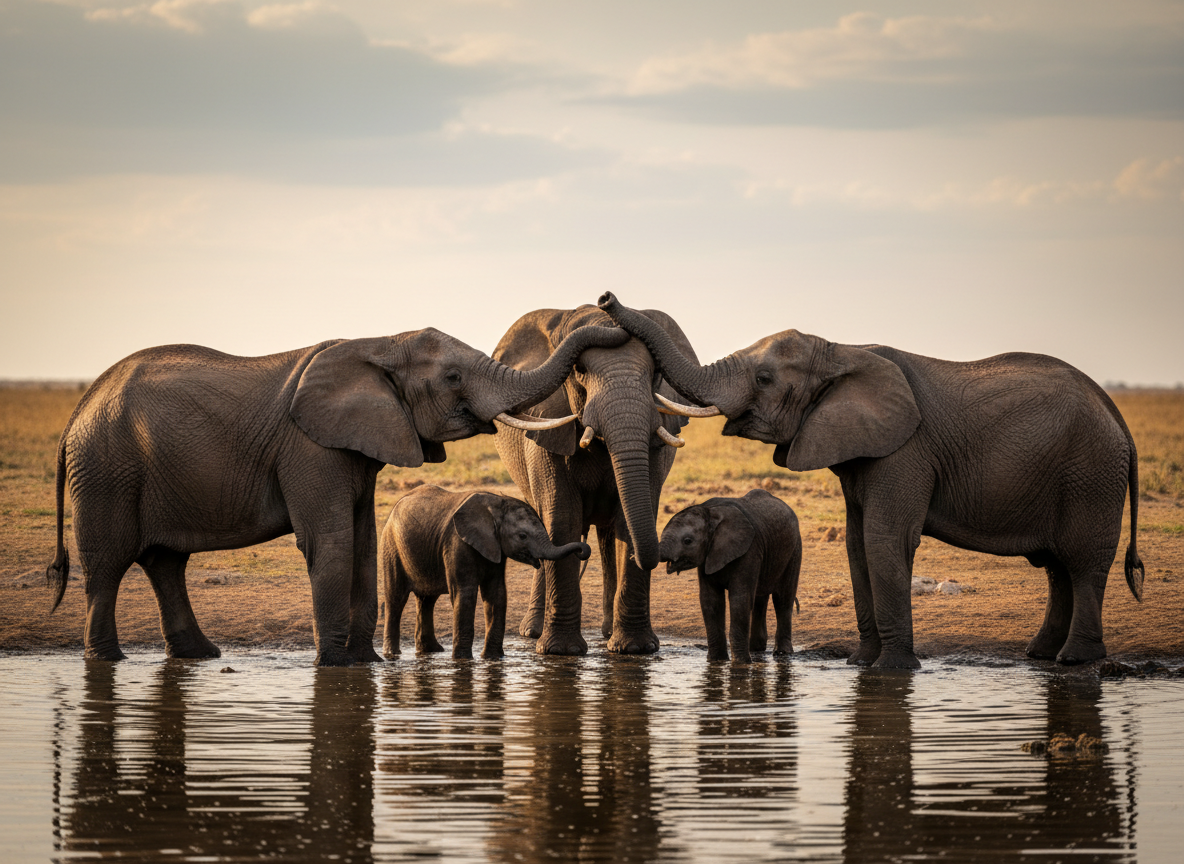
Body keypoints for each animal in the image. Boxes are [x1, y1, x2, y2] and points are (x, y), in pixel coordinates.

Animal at [379, 485, 591, 659]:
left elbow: (496, 594)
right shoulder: (457, 543)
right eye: (522, 536)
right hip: (391, 546)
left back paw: (432, 651)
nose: (583, 550)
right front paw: (463, 660)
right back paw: (392, 654)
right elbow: (465, 594)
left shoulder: (495, 548)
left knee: (427, 600)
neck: (496, 506)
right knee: (396, 599)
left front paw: (493, 658)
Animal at [492, 304, 699, 655]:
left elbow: (632, 518)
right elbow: (562, 517)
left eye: (656, 373)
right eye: (579, 370)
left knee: (606, 535)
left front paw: (635, 649)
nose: (606, 301)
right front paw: (560, 652)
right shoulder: (548, 425)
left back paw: (606, 632)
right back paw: (533, 632)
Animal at [660, 489, 801, 663]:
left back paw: (782, 654)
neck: (711, 513)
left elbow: (739, 600)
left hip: (794, 549)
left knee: (783, 599)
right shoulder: (708, 556)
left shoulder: (750, 549)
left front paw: (741, 663)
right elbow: (711, 602)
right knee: (760, 598)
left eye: (687, 541)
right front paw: (716, 661)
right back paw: (756, 649)